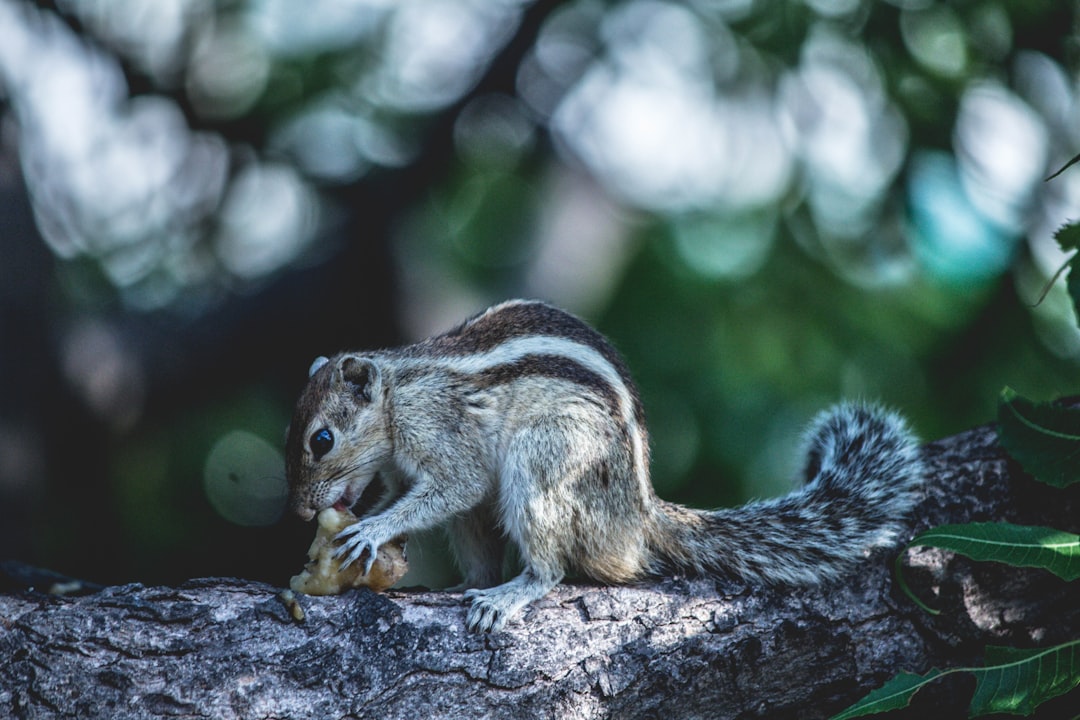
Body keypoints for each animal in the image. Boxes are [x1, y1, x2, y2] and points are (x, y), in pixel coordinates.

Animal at [282, 297, 924, 630]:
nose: (301, 513)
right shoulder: (401, 466)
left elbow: (455, 486)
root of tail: (638, 516)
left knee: (550, 569)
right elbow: (416, 494)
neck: (396, 396)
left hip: (545, 461)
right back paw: (469, 585)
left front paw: (372, 530)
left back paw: (508, 594)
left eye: (321, 439)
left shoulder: (439, 427)